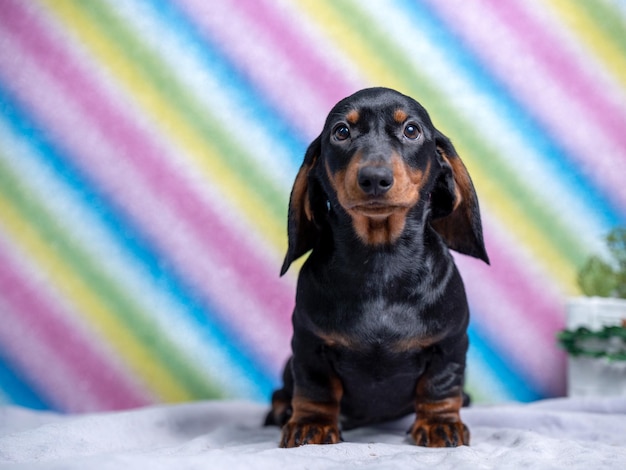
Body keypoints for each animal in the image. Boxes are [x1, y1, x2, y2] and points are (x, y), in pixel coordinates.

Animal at [264, 87, 488, 448]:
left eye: (411, 130)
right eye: (341, 132)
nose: (374, 178)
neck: (381, 260)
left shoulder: (450, 343)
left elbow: (439, 385)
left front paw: (440, 424)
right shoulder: (309, 344)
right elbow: (315, 387)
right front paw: (311, 424)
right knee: (283, 390)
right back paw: (283, 409)